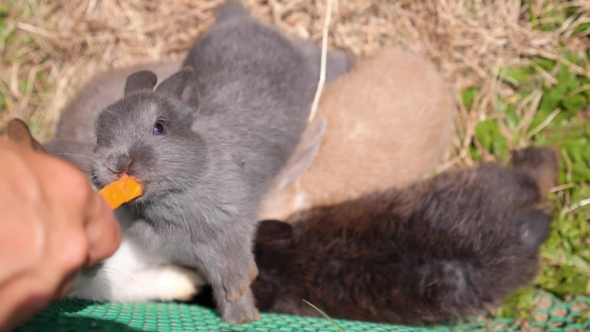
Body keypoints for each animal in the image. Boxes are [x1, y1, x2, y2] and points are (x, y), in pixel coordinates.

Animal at [90, 1, 354, 324]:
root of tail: (238, 19)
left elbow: (234, 264)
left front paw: (242, 304)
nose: (118, 163)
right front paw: (239, 317)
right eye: (99, 134)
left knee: (322, 57)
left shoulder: (233, 224)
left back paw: (350, 59)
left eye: (159, 127)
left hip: (307, 64)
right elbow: (216, 279)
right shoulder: (195, 254)